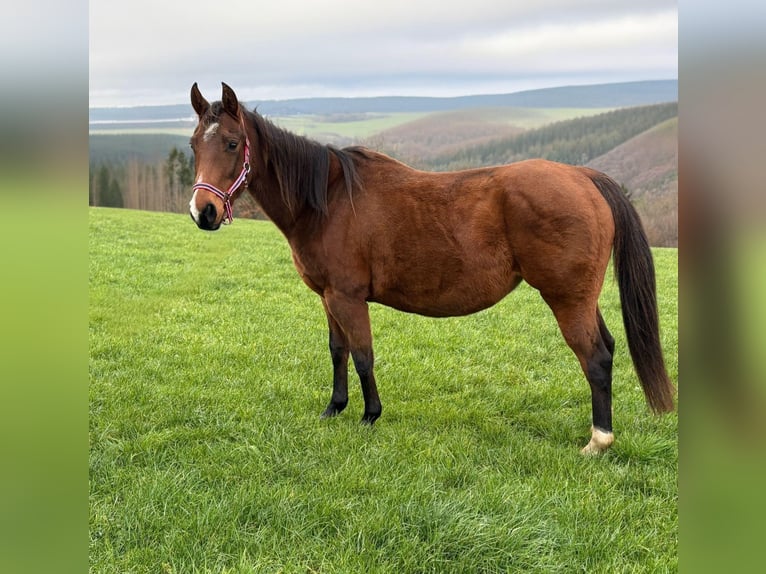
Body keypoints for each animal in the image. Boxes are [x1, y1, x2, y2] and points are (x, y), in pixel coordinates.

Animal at [188, 82, 675, 454]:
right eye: (194, 144)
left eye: (232, 143)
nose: (203, 212)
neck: (327, 200)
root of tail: (583, 176)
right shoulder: (328, 297)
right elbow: (338, 351)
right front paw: (334, 408)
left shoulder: (347, 297)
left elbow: (363, 355)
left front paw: (369, 416)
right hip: (581, 298)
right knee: (607, 348)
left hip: (567, 299)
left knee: (595, 358)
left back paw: (599, 440)